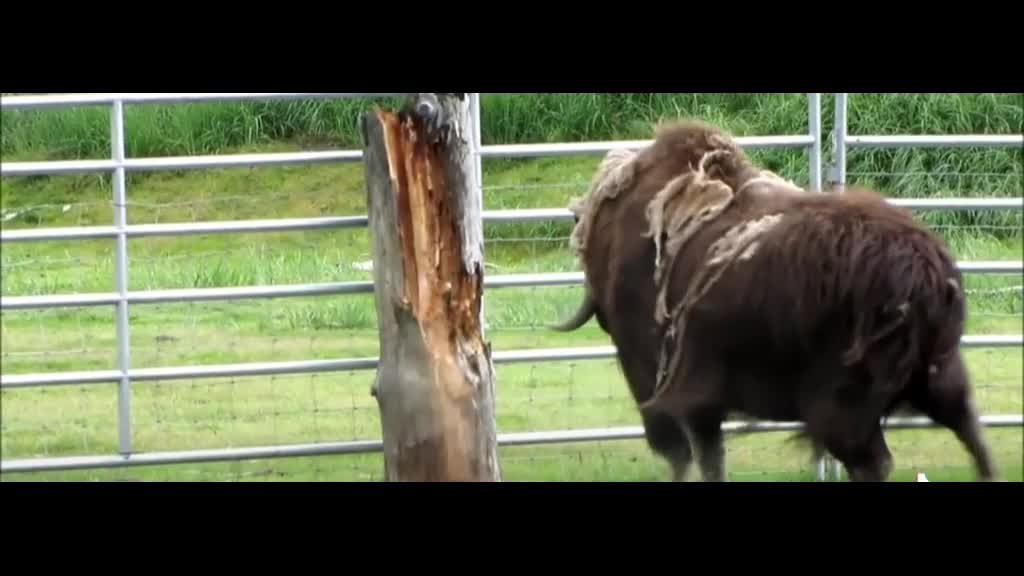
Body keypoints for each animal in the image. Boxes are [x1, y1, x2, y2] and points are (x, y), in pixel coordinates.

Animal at [557, 118, 995, 481]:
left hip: (842, 406)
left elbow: (692, 455)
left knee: (875, 461)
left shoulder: (666, 384)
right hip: (939, 375)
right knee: (972, 434)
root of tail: (926, 273)